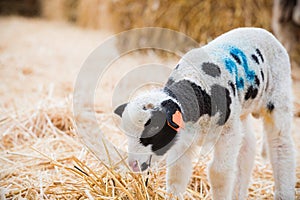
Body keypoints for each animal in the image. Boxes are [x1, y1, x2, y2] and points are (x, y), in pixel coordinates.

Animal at [114, 27, 296, 199]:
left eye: (153, 130)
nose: (133, 164)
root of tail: (260, 30)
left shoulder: (228, 132)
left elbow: (219, 173)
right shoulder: (183, 138)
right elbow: (177, 173)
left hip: (279, 100)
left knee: (281, 146)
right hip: (242, 111)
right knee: (247, 147)